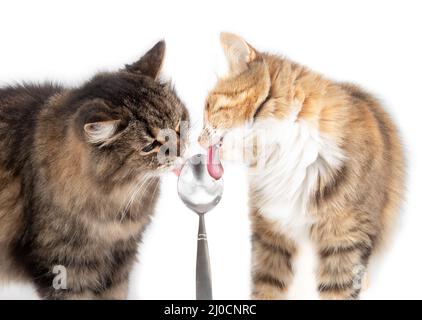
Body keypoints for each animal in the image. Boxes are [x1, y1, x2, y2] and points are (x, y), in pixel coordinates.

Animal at [199, 33, 404, 300]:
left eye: (208, 107)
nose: (197, 140)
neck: (286, 156)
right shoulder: (270, 236)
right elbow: (267, 287)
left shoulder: (345, 239)